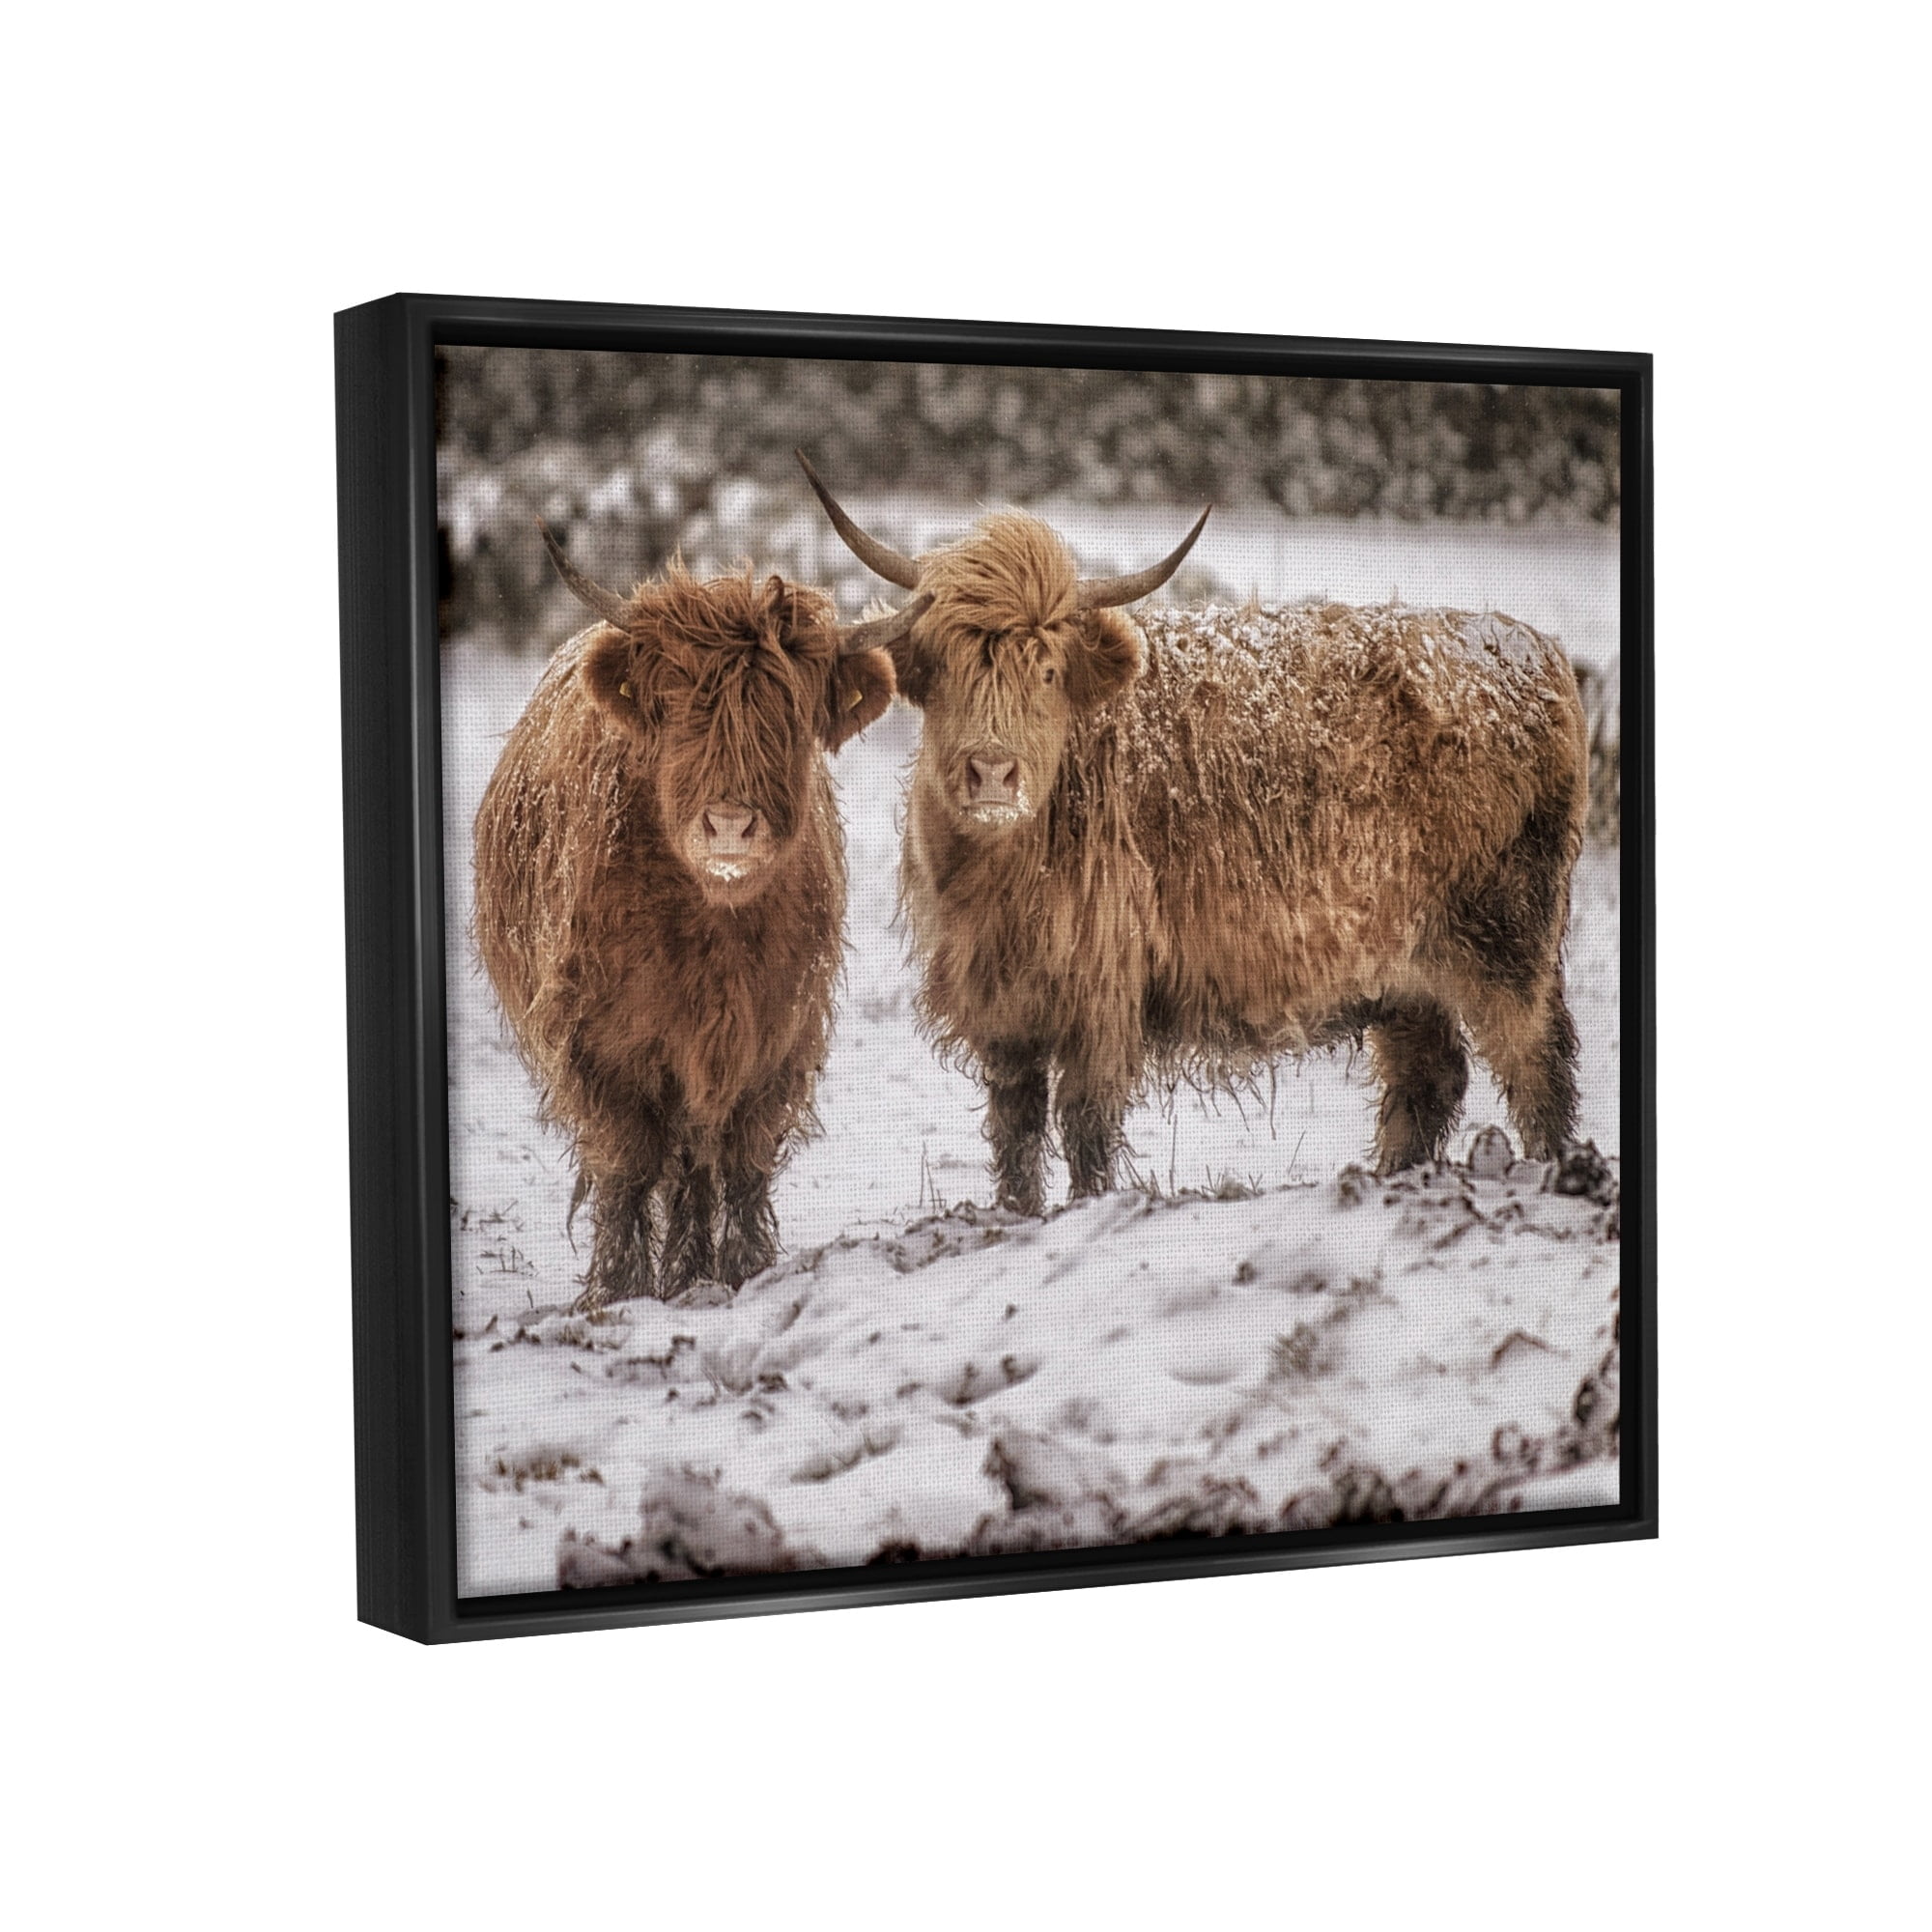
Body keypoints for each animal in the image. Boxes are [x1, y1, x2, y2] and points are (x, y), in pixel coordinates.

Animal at [472, 523, 928, 1306]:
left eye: (789, 716)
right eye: (680, 710)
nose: (730, 826)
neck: (712, 928)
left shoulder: (777, 1034)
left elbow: (740, 1158)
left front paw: (741, 1270)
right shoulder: (600, 1044)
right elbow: (627, 1163)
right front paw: (619, 1289)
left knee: (694, 1159)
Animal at [798, 452, 1588, 1214]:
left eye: (1047, 672)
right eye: (946, 667)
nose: (992, 772)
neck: (1001, 880)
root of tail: (1532, 650)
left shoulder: (1101, 989)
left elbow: (1086, 1122)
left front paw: (1088, 1206)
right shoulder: (1003, 1004)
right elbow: (1015, 1128)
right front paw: (1016, 1212)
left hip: (1508, 938)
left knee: (1536, 1064)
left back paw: (1554, 1170)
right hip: (1403, 967)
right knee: (1428, 1078)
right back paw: (1393, 1177)